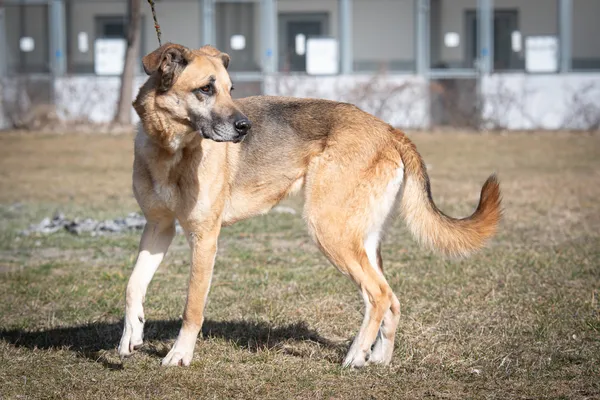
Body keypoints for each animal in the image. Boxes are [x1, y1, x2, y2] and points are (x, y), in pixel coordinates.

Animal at [117, 42, 502, 368]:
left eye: (230, 89)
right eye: (206, 89)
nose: (245, 127)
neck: (170, 148)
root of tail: (389, 129)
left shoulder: (204, 240)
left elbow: (192, 308)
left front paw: (180, 355)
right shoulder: (158, 228)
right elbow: (133, 284)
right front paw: (130, 335)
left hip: (329, 231)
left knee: (378, 295)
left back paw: (355, 357)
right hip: (361, 241)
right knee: (391, 299)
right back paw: (378, 358)